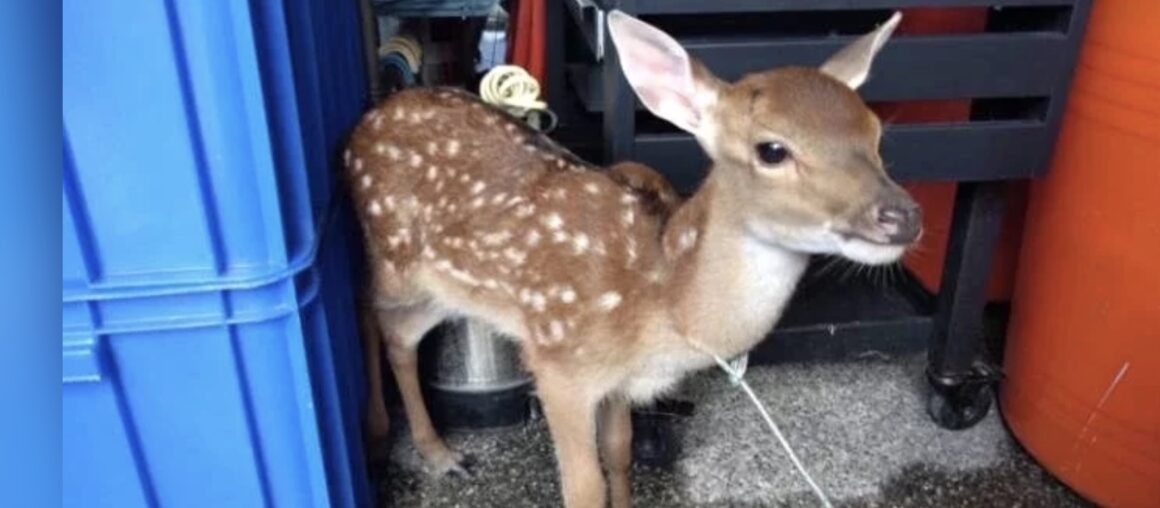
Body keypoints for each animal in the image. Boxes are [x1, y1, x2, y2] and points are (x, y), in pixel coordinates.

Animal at [348, 10, 917, 508]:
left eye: (877, 134)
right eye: (772, 150)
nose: (902, 216)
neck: (660, 299)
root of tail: (368, 119)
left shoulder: (619, 380)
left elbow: (620, 453)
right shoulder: (560, 365)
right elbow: (584, 488)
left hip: (441, 290)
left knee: (398, 336)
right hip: (392, 257)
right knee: (369, 313)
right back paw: (409, 446)